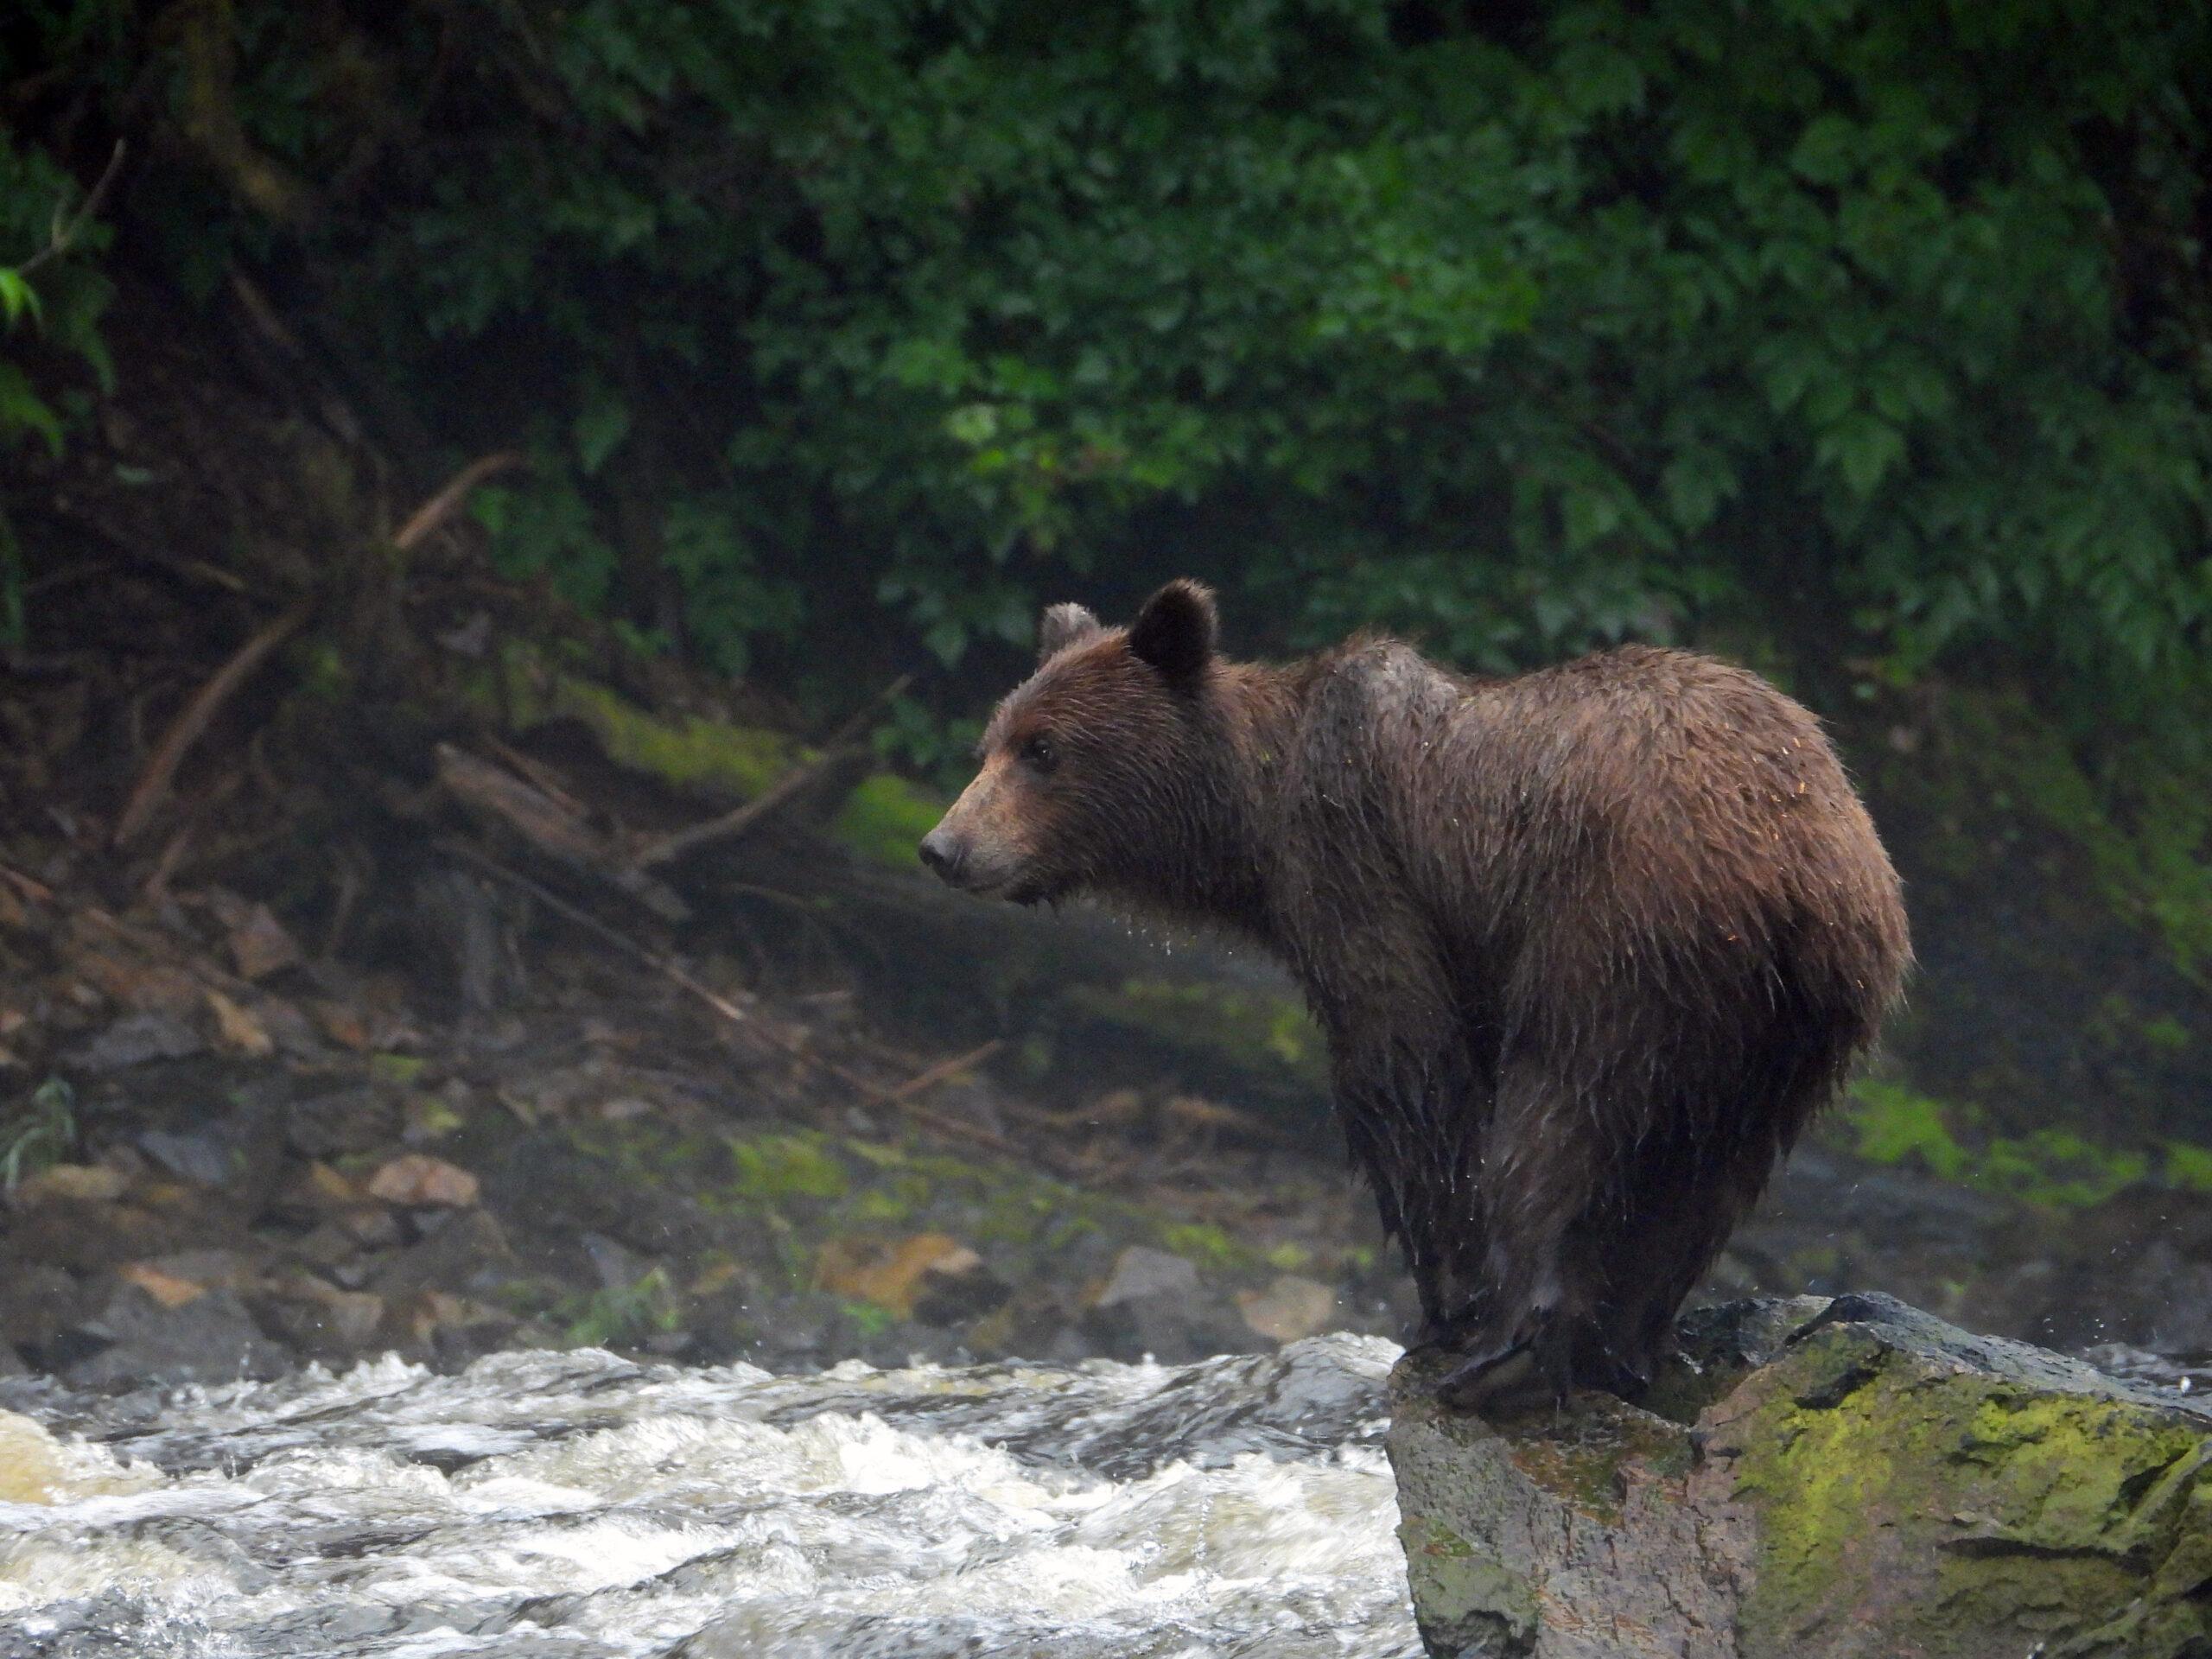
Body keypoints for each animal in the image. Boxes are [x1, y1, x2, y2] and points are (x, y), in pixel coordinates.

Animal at [915, 579, 1902, 1407]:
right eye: (991, 743)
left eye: (1045, 750)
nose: (944, 846)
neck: (1254, 822)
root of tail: (1795, 869)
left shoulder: (1360, 859)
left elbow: (1404, 1064)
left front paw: (1444, 1301)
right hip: (1795, 1019)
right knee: (1712, 1165)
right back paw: (1626, 1343)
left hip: (1619, 928)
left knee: (1565, 1109)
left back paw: (1508, 1346)